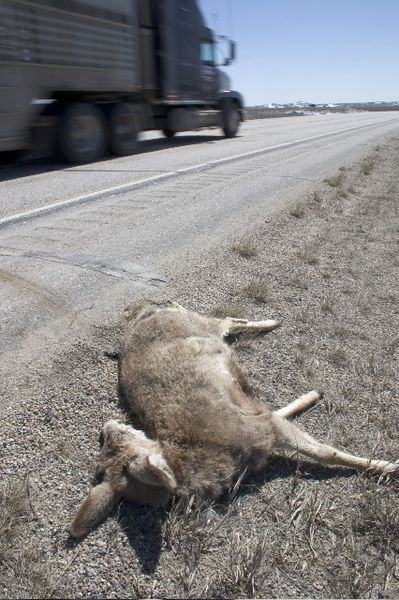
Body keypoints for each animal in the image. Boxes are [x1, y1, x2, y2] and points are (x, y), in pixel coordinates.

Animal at [70, 304, 398, 540]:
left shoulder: (262, 427)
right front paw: (310, 397)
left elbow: (326, 452)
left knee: (225, 318)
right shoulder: (262, 424)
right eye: (104, 451)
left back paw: (271, 322)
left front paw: (388, 466)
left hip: (203, 325)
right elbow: (285, 418)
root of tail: (143, 315)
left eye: (124, 434)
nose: (105, 426)